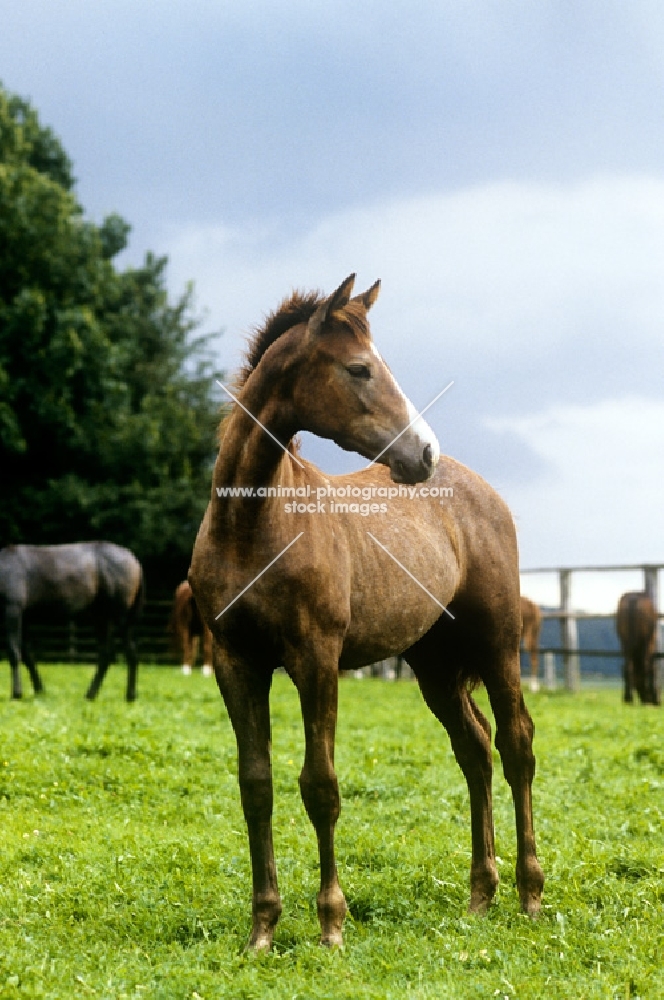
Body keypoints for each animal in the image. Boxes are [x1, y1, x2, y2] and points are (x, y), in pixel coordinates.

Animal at [0, 544, 144, 700]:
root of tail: (133, 559)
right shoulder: (24, 618)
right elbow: (28, 655)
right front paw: (39, 690)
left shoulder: (13, 612)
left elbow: (14, 652)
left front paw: (17, 693)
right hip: (102, 618)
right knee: (106, 653)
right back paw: (91, 694)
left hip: (122, 618)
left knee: (131, 652)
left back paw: (130, 695)